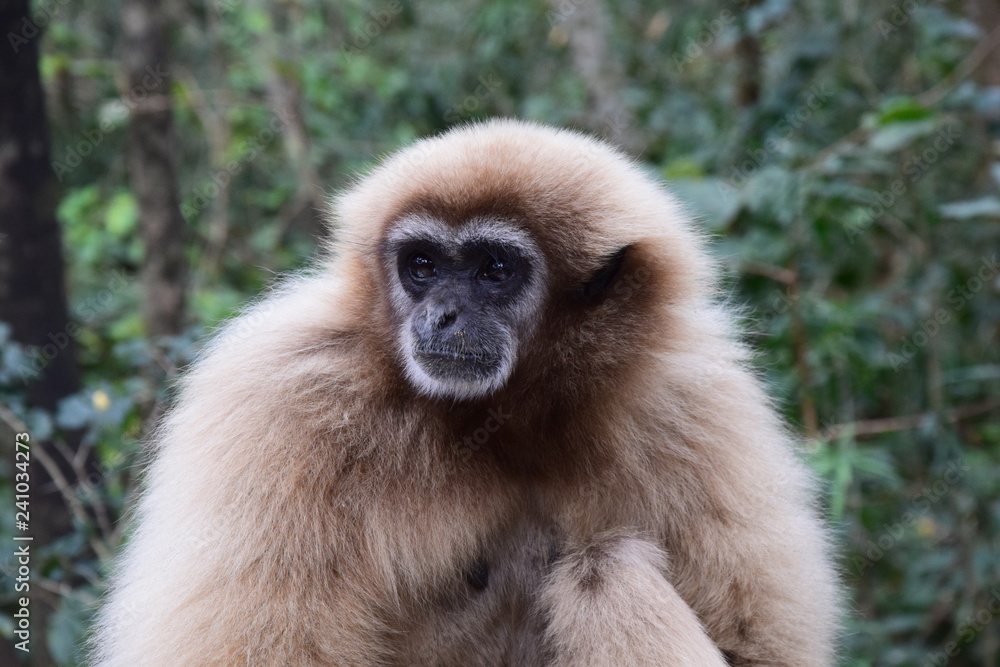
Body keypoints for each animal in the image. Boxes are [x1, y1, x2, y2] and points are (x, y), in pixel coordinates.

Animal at [91, 119, 840, 666]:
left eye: (494, 270)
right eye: (421, 266)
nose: (442, 315)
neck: (508, 418)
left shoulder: (696, 401)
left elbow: (761, 651)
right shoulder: (281, 396)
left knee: (604, 568)